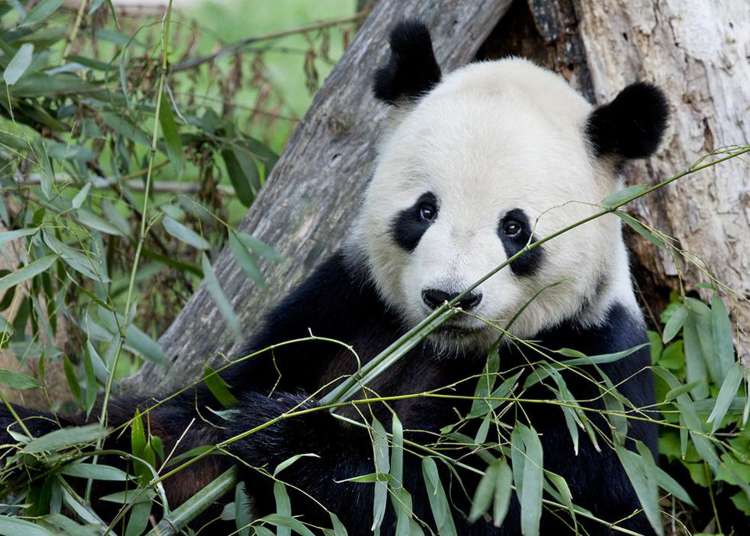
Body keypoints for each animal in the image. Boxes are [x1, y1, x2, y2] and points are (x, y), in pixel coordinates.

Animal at [1, 19, 668, 536]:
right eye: (424, 210)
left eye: (515, 228)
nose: (448, 297)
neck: (442, 350)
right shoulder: (340, 305)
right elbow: (173, 443)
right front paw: (36, 440)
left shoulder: (584, 371)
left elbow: (494, 502)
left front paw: (288, 439)